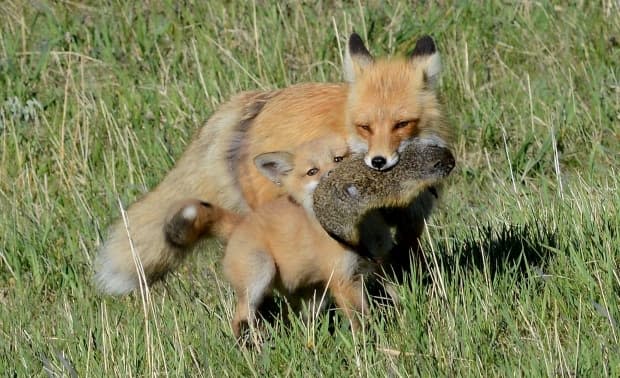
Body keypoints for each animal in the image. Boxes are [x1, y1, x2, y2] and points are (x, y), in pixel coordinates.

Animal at [98, 32, 456, 294]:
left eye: (402, 124)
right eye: (365, 127)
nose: (378, 161)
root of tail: (246, 106)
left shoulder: (409, 221)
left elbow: (402, 258)